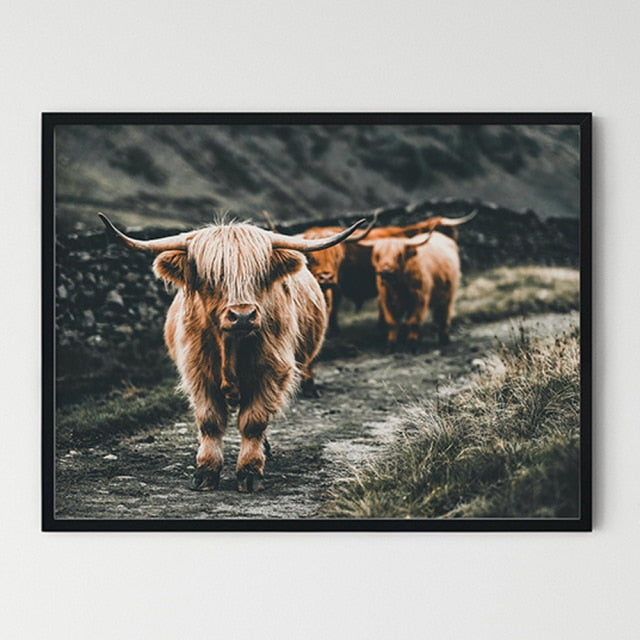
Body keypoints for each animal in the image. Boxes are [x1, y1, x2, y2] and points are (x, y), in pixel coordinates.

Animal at [98, 213, 366, 492]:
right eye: (212, 276)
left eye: (260, 275)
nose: (243, 315)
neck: (230, 347)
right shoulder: (198, 373)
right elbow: (209, 421)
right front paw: (206, 471)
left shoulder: (271, 373)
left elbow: (254, 422)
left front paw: (249, 472)